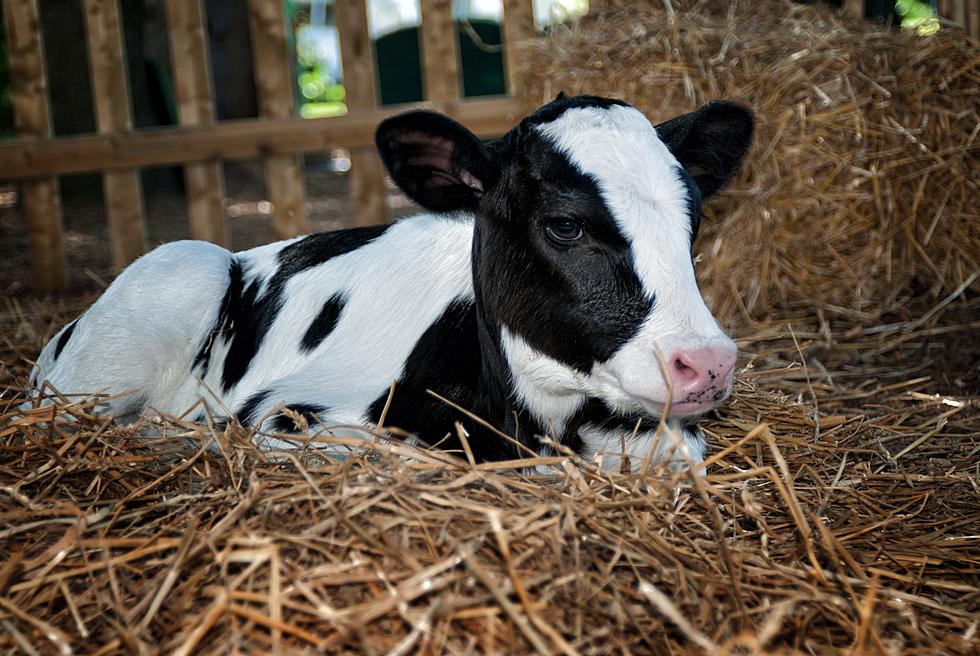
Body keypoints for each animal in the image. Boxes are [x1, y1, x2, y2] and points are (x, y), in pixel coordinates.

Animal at [30, 93, 752, 472]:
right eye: (565, 225)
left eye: (692, 219)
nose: (709, 362)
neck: (529, 419)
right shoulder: (286, 415)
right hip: (173, 279)